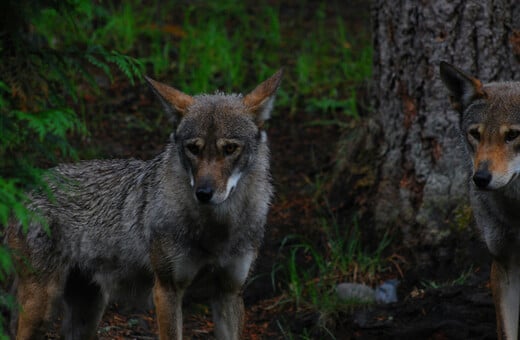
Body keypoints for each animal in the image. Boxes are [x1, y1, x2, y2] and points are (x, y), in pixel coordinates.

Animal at [7, 67, 284, 338]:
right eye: (193, 149)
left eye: (230, 149)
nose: (204, 193)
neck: (216, 230)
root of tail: (28, 190)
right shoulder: (166, 290)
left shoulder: (229, 292)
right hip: (42, 310)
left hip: (88, 314)